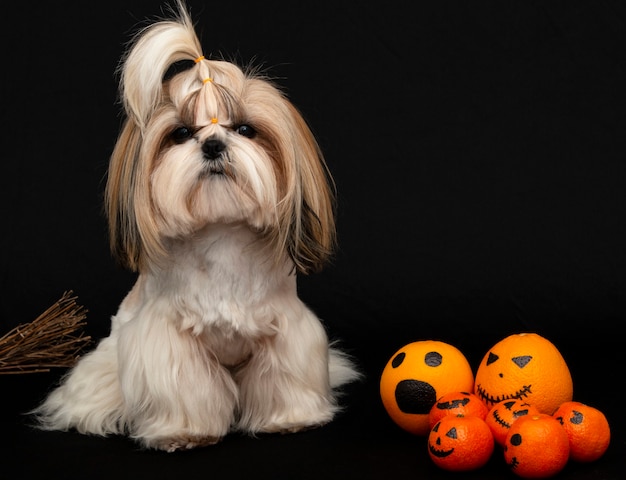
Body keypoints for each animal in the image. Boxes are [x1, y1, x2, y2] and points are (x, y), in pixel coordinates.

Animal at [33, 0, 356, 452]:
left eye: (245, 129)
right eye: (182, 133)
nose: (213, 144)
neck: (220, 234)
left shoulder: (286, 328)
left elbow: (282, 375)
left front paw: (290, 419)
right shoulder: (167, 340)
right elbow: (184, 384)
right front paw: (185, 432)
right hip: (109, 363)